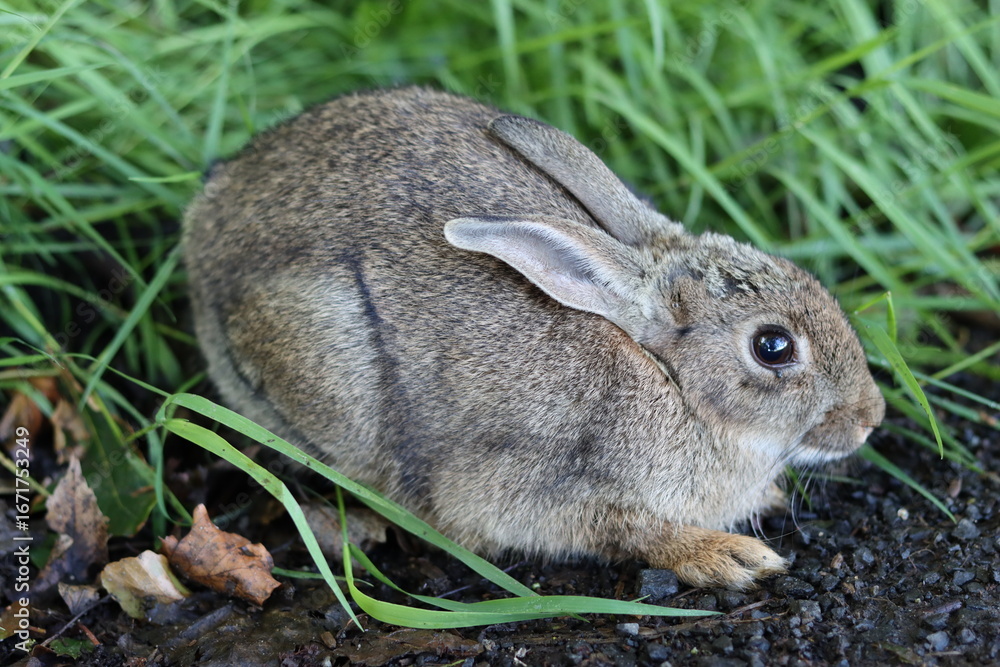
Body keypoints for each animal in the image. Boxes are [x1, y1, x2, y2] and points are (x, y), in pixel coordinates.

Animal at [182, 86, 885, 590]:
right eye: (773, 346)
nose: (870, 418)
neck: (671, 382)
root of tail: (207, 219)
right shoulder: (533, 485)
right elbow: (624, 530)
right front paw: (728, 557)